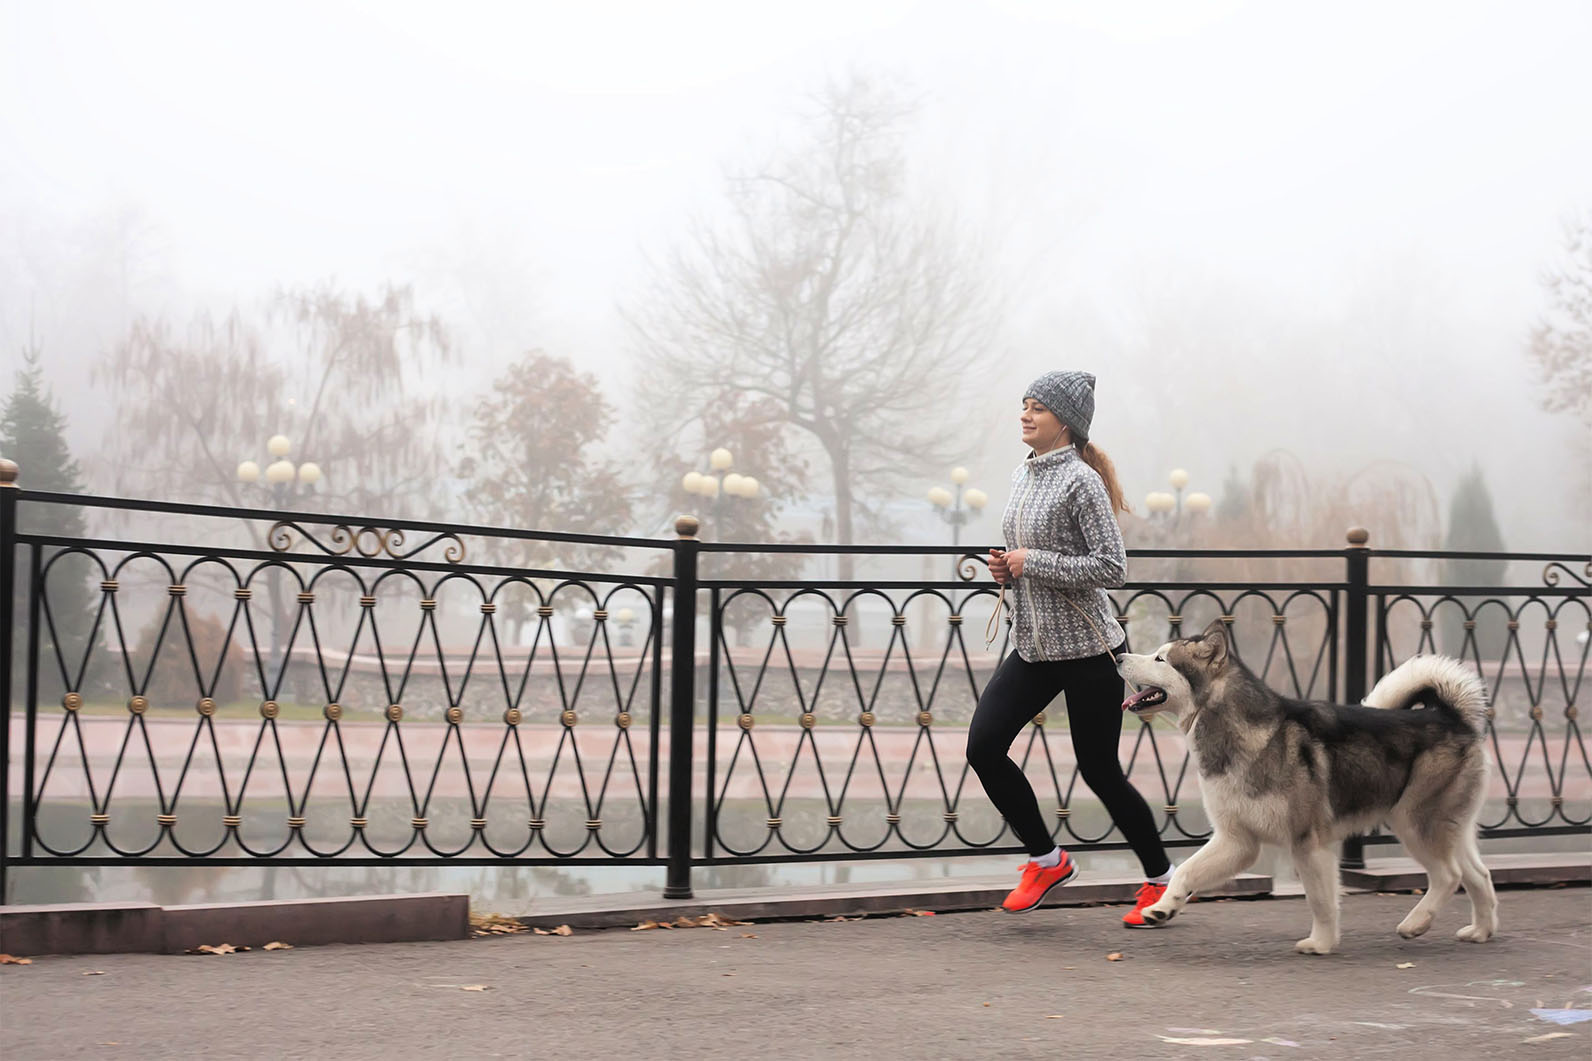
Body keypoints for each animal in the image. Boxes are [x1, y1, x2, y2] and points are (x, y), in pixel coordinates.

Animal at [1114, 621, 1496, 949]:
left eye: (1160, 658)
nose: (1118, 657)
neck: (1249, 734)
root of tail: (1449, 715)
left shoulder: (1306, 842)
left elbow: (1321, 900)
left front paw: (1321, 943)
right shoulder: (1237, 841)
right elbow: (1186, 872)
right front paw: (1162, 908)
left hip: (1414, 824)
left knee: (1449, 875)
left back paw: (1416, 923)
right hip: (1444, 828)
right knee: (1478, 874)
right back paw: (1480, 930)